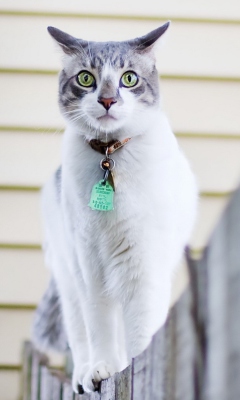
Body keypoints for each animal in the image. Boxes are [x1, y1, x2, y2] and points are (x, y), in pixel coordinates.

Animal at [32, 22, 198, 394]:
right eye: (86, 79)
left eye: (129, 79)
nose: (108, 100)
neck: (110, 157)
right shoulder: (90, 266)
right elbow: (100, 327)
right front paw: (102, 370)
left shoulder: (143, 264)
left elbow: (141, 328)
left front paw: (136, 369)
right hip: (69, 277)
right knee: (80, 333)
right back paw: (83, 374)